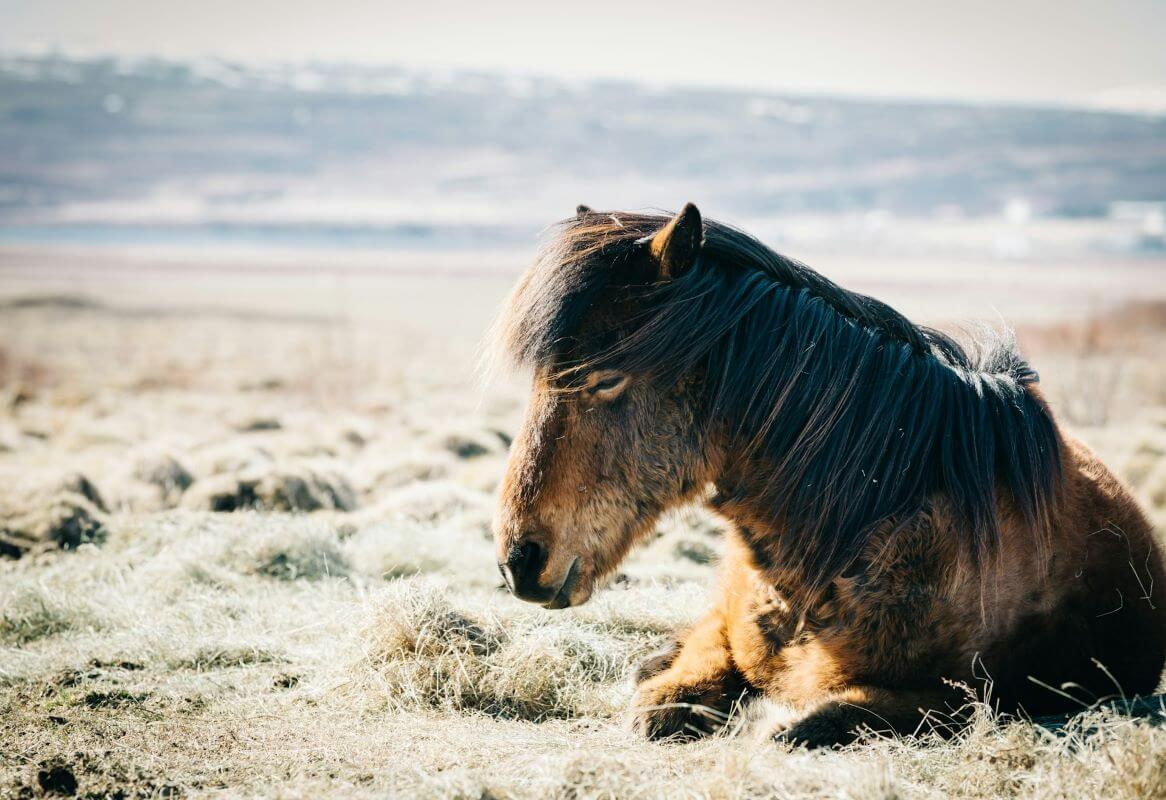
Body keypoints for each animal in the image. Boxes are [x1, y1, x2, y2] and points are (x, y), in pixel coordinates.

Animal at [485, 204, 1166, 751]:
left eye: (606, 378)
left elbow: (814, 722)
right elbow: (669, 696)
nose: (521, 560)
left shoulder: (965, 698)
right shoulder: (725, 635)